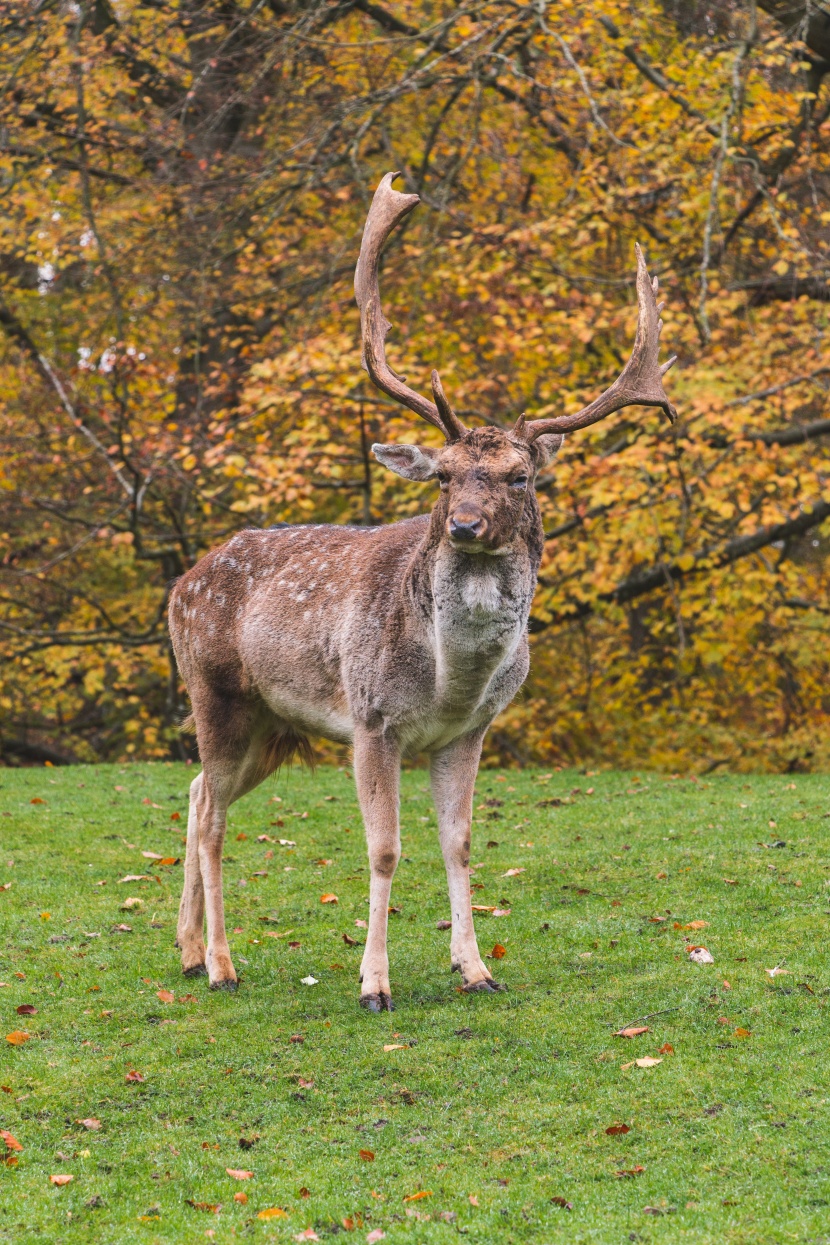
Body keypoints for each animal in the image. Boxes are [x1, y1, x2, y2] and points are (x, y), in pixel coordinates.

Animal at [166, 173, 676, 1010]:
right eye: (442, 476)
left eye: (519, 476)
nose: (466, 523)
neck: (448, 682)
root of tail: (180, 583)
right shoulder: (373, 719)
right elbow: (384, 848)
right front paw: (375, 983)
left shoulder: (469, 732)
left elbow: (460, 842)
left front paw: (475, 967)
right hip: (214, 688)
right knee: (211, 816)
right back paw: (219, 963)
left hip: (274, 726)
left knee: (198, 792)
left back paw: (182, 950)